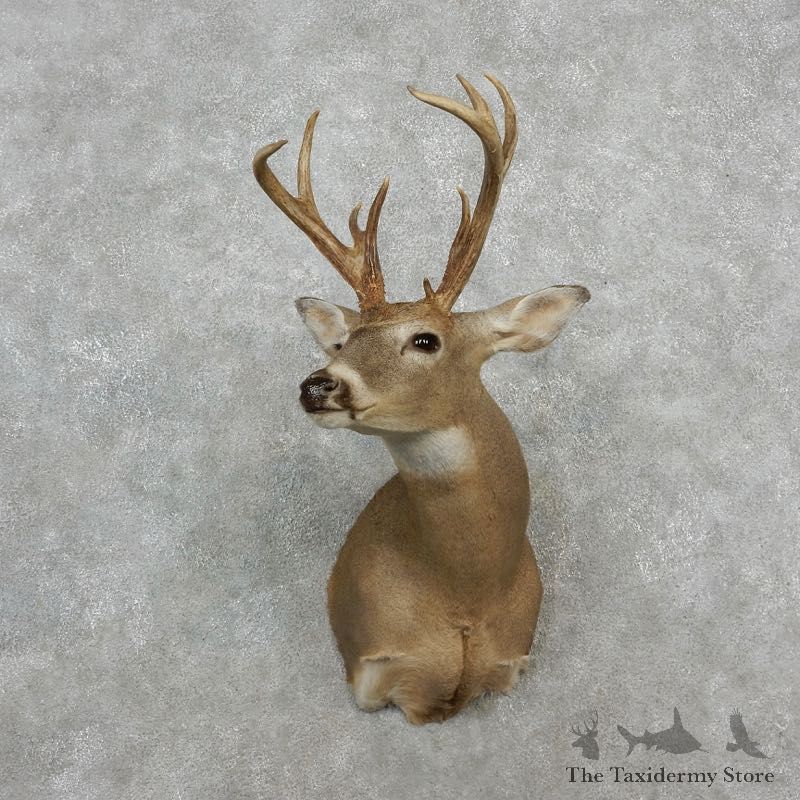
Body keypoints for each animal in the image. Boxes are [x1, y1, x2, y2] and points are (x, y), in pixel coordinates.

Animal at [253, 74, 590, 724]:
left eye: (425, 339)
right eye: (344, 340)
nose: (318, 384)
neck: (464, 598)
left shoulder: (512, 664)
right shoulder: (371, 670)